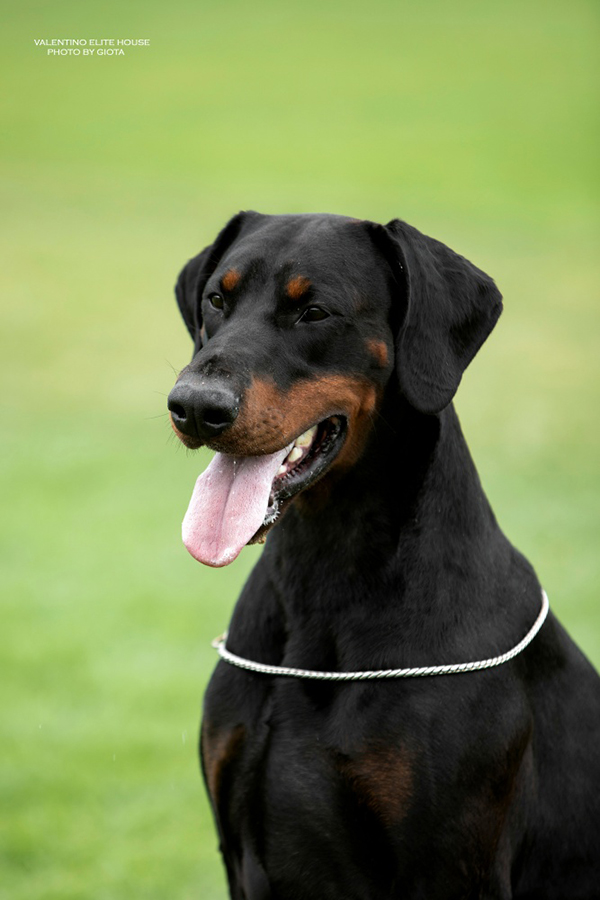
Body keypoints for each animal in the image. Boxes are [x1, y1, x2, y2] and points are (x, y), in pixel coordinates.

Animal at [168, 212, 600, 899]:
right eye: (216, 298)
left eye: (315, 311)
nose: (193, 406)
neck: (325, 572)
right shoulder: (237, 852)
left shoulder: (451, 866)